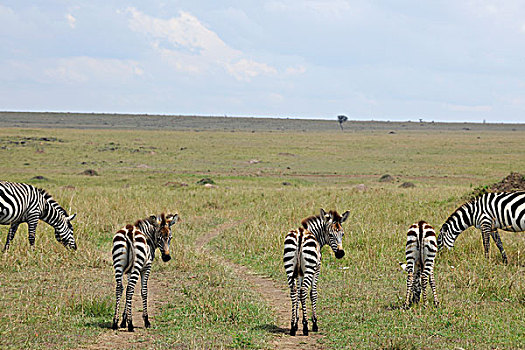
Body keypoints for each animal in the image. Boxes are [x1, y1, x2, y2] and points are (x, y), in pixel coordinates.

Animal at [282, 208, 348, 336]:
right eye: (330, 234)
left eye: (342, 234)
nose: (340, 253)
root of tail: (301, 234)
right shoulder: (317, 268)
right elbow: (313, 294)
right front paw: (314, 323)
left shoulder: (299, 273)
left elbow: (297, 294)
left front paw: (296, 323)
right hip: (309, 268)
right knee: (303, 291)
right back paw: (306, 327)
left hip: (289, 267)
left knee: (294, 291)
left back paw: (292, 327)